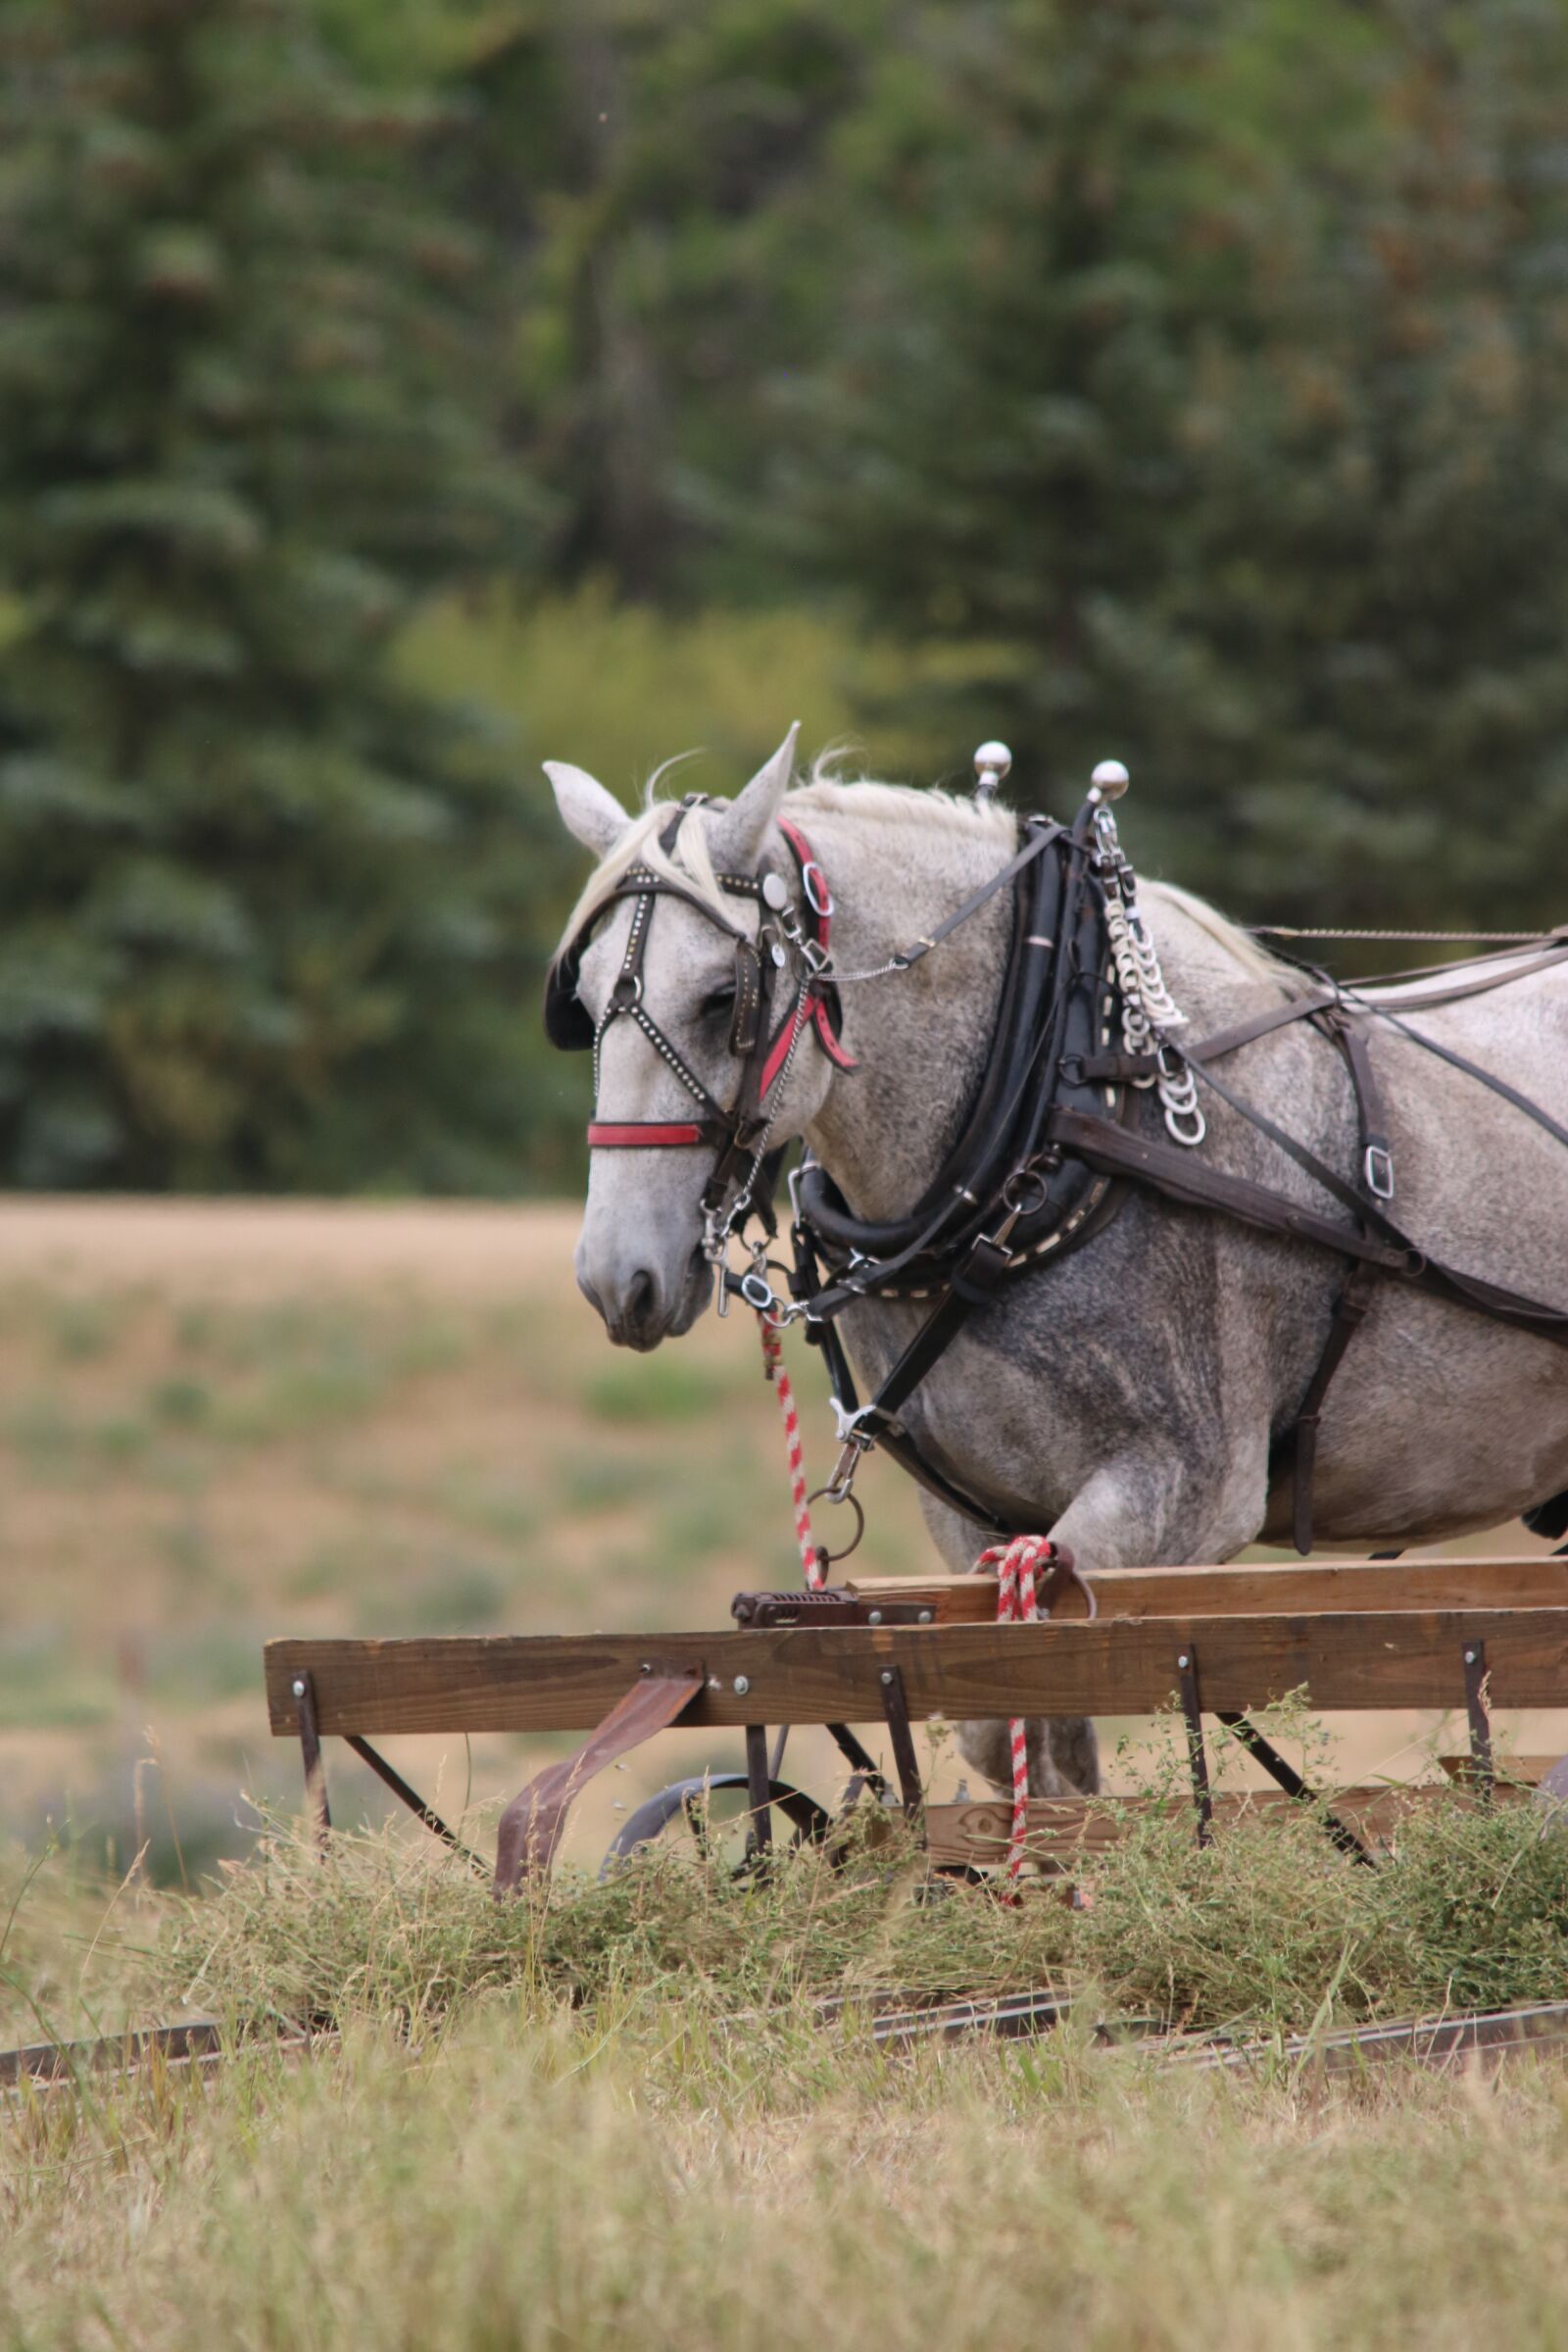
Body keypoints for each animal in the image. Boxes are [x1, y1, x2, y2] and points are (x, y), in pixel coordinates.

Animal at [545, 728, 1568, 1800]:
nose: (617, 1277)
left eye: (722, 998)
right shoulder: (976, 1519)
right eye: (581, 1000)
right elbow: (1017, 1736)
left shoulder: (1185, 1493)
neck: (1063, 1106)